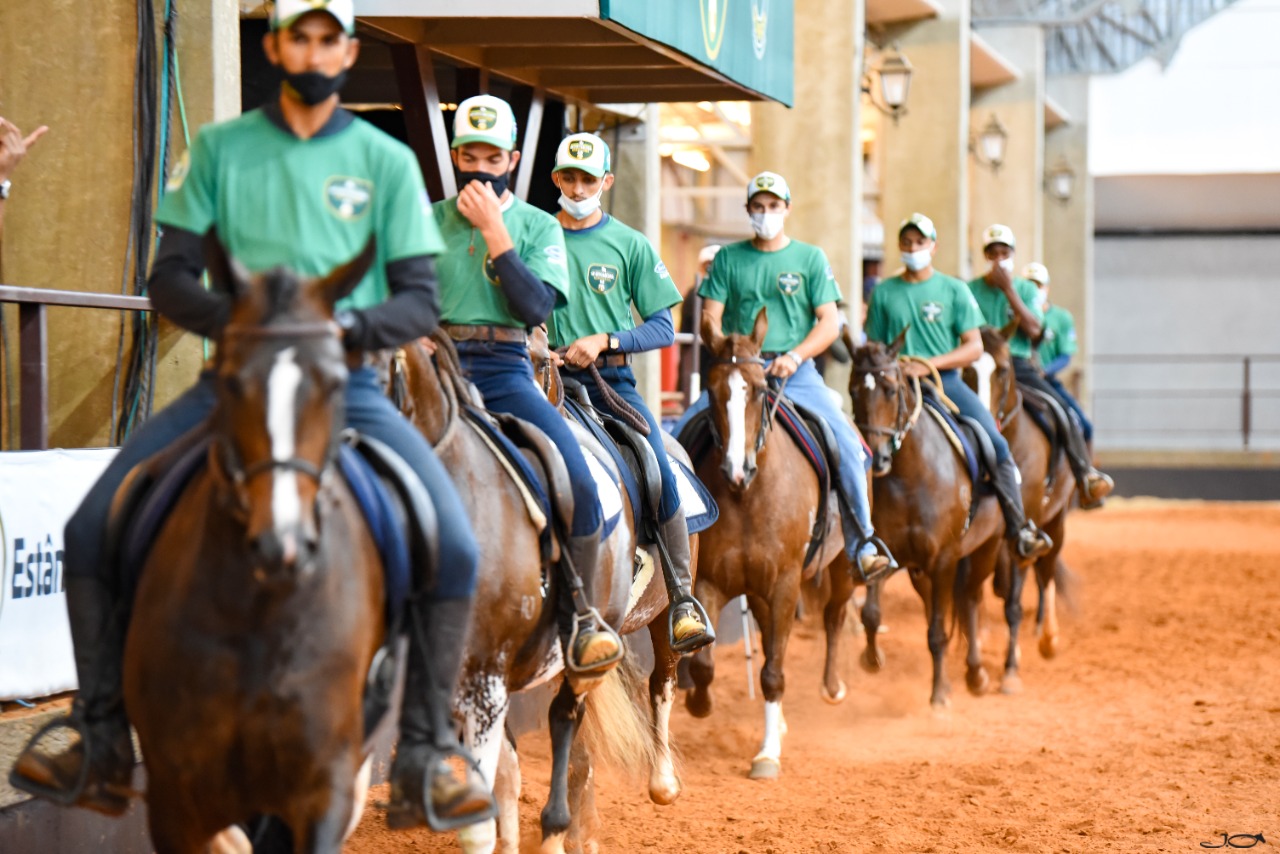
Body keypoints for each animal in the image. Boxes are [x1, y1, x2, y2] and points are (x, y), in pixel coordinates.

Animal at [680, 308, 860, 783]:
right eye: (712, 390)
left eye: (760, 389)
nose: (736, 469)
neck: (749, 496)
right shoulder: (711, 581)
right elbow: (706, 664)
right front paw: (700, 703)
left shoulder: (784, 583)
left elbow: (774, 672)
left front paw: (766, 756)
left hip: (839, 565)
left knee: (834, 615)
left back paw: (832, 688)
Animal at [849, 330, 1008, 706]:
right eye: (853, 390)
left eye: (891, 389)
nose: (876, 457)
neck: (909, 477)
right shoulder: (887, 552)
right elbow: (872, 614)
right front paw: (872, 659)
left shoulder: (945, 559)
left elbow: (938, 630)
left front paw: (939, 698)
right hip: (922, 572)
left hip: (984, 552)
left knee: (970, 602)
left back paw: (975, 674)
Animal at [962, 323, 1075, 691]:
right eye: (965, 370)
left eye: (1002, 369)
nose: (983, 419)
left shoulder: (1026, 530)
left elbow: (1013, 602)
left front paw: (1010, 670)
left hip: (1055, 522)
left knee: (1046, 574)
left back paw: (1047, 636)